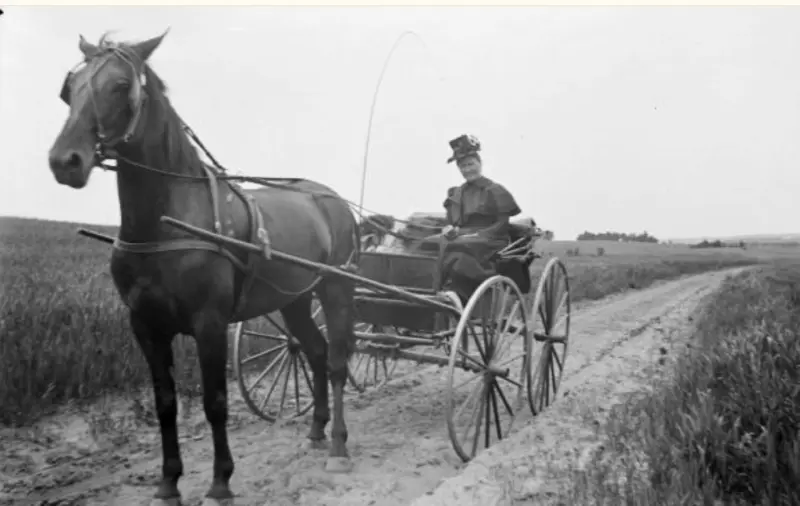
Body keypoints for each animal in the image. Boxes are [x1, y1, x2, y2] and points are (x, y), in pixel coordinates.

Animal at [47, 31, 359, 505]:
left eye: (120, 85)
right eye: (70, 88)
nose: (65, 161)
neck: (164, 225)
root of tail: (331, 198)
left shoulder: (209, 323)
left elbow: (215, 403)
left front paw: (220, 481)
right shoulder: (146, 326)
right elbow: (166, 404)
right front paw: (168, 483)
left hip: (336, 290)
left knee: (338, 361)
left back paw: (339, 446)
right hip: (294, 299)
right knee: (316, 352)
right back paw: (317, 430)